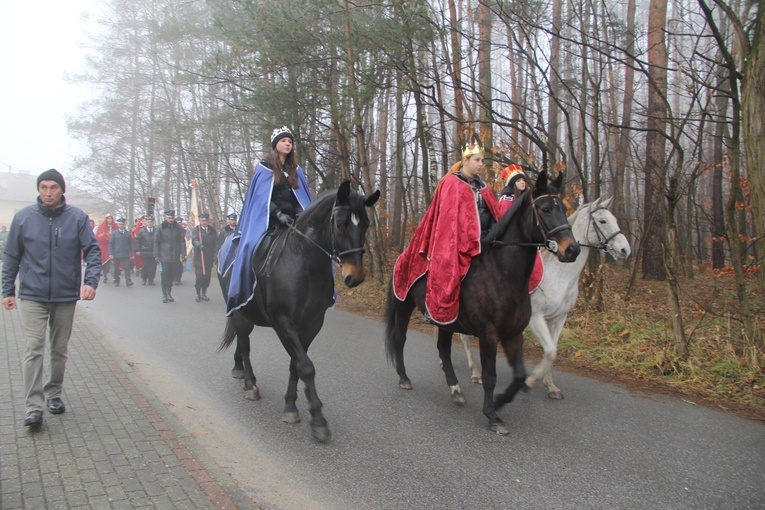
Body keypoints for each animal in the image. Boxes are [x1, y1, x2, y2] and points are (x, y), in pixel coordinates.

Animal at [218, 181, 380, 440]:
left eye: (365, 224)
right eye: (339, 223)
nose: (354, 277)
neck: (303, 262)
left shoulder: (312, 325)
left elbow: (296, 365)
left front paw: (291, 405)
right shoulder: (284, 323)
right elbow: (305, 366)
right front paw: (318, 419)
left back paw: (239, 369)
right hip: (239, 312)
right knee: (244, 343)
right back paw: (250, 384)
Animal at [384, 172, 576, 434]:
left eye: (563, 209)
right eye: (545, 208)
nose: (572, 250)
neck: (501, 275)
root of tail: (402, 255)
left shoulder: (514, 334)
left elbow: (519, 375)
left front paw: (500, 400)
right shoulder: (488, 334)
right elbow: (490, 376)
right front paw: (492, 415)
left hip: (445, 319)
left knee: (443, 349)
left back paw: (455, 390)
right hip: (404, 306)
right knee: (400, 339)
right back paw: (404, 378)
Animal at [456, 195, 628, 398]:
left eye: (614, 219)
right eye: (602, 221)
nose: (625, 250)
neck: (560, 274)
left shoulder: (559, 318)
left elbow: (553, 351)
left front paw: (550, 385)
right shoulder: (536, 317)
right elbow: (550, 350)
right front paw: (530, 382)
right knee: (464, 338)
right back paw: (475, 373)